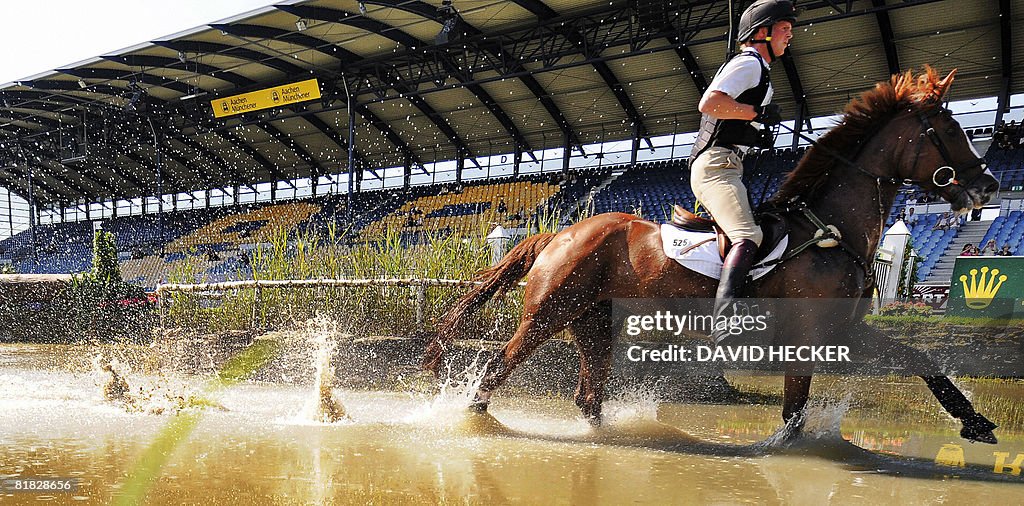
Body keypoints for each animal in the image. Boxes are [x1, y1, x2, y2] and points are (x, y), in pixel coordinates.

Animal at [423, 68, 999, 442]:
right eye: (949, 131)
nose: (988, 186)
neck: (830, 230)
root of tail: (561, 233)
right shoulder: (811, 334)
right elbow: (794, 414)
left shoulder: (844, 329)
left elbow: (920, 360)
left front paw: (975, 422)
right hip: (548, 312)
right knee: (495, 370)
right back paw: (474, 424)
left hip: (592, 324)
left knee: (587, 396)